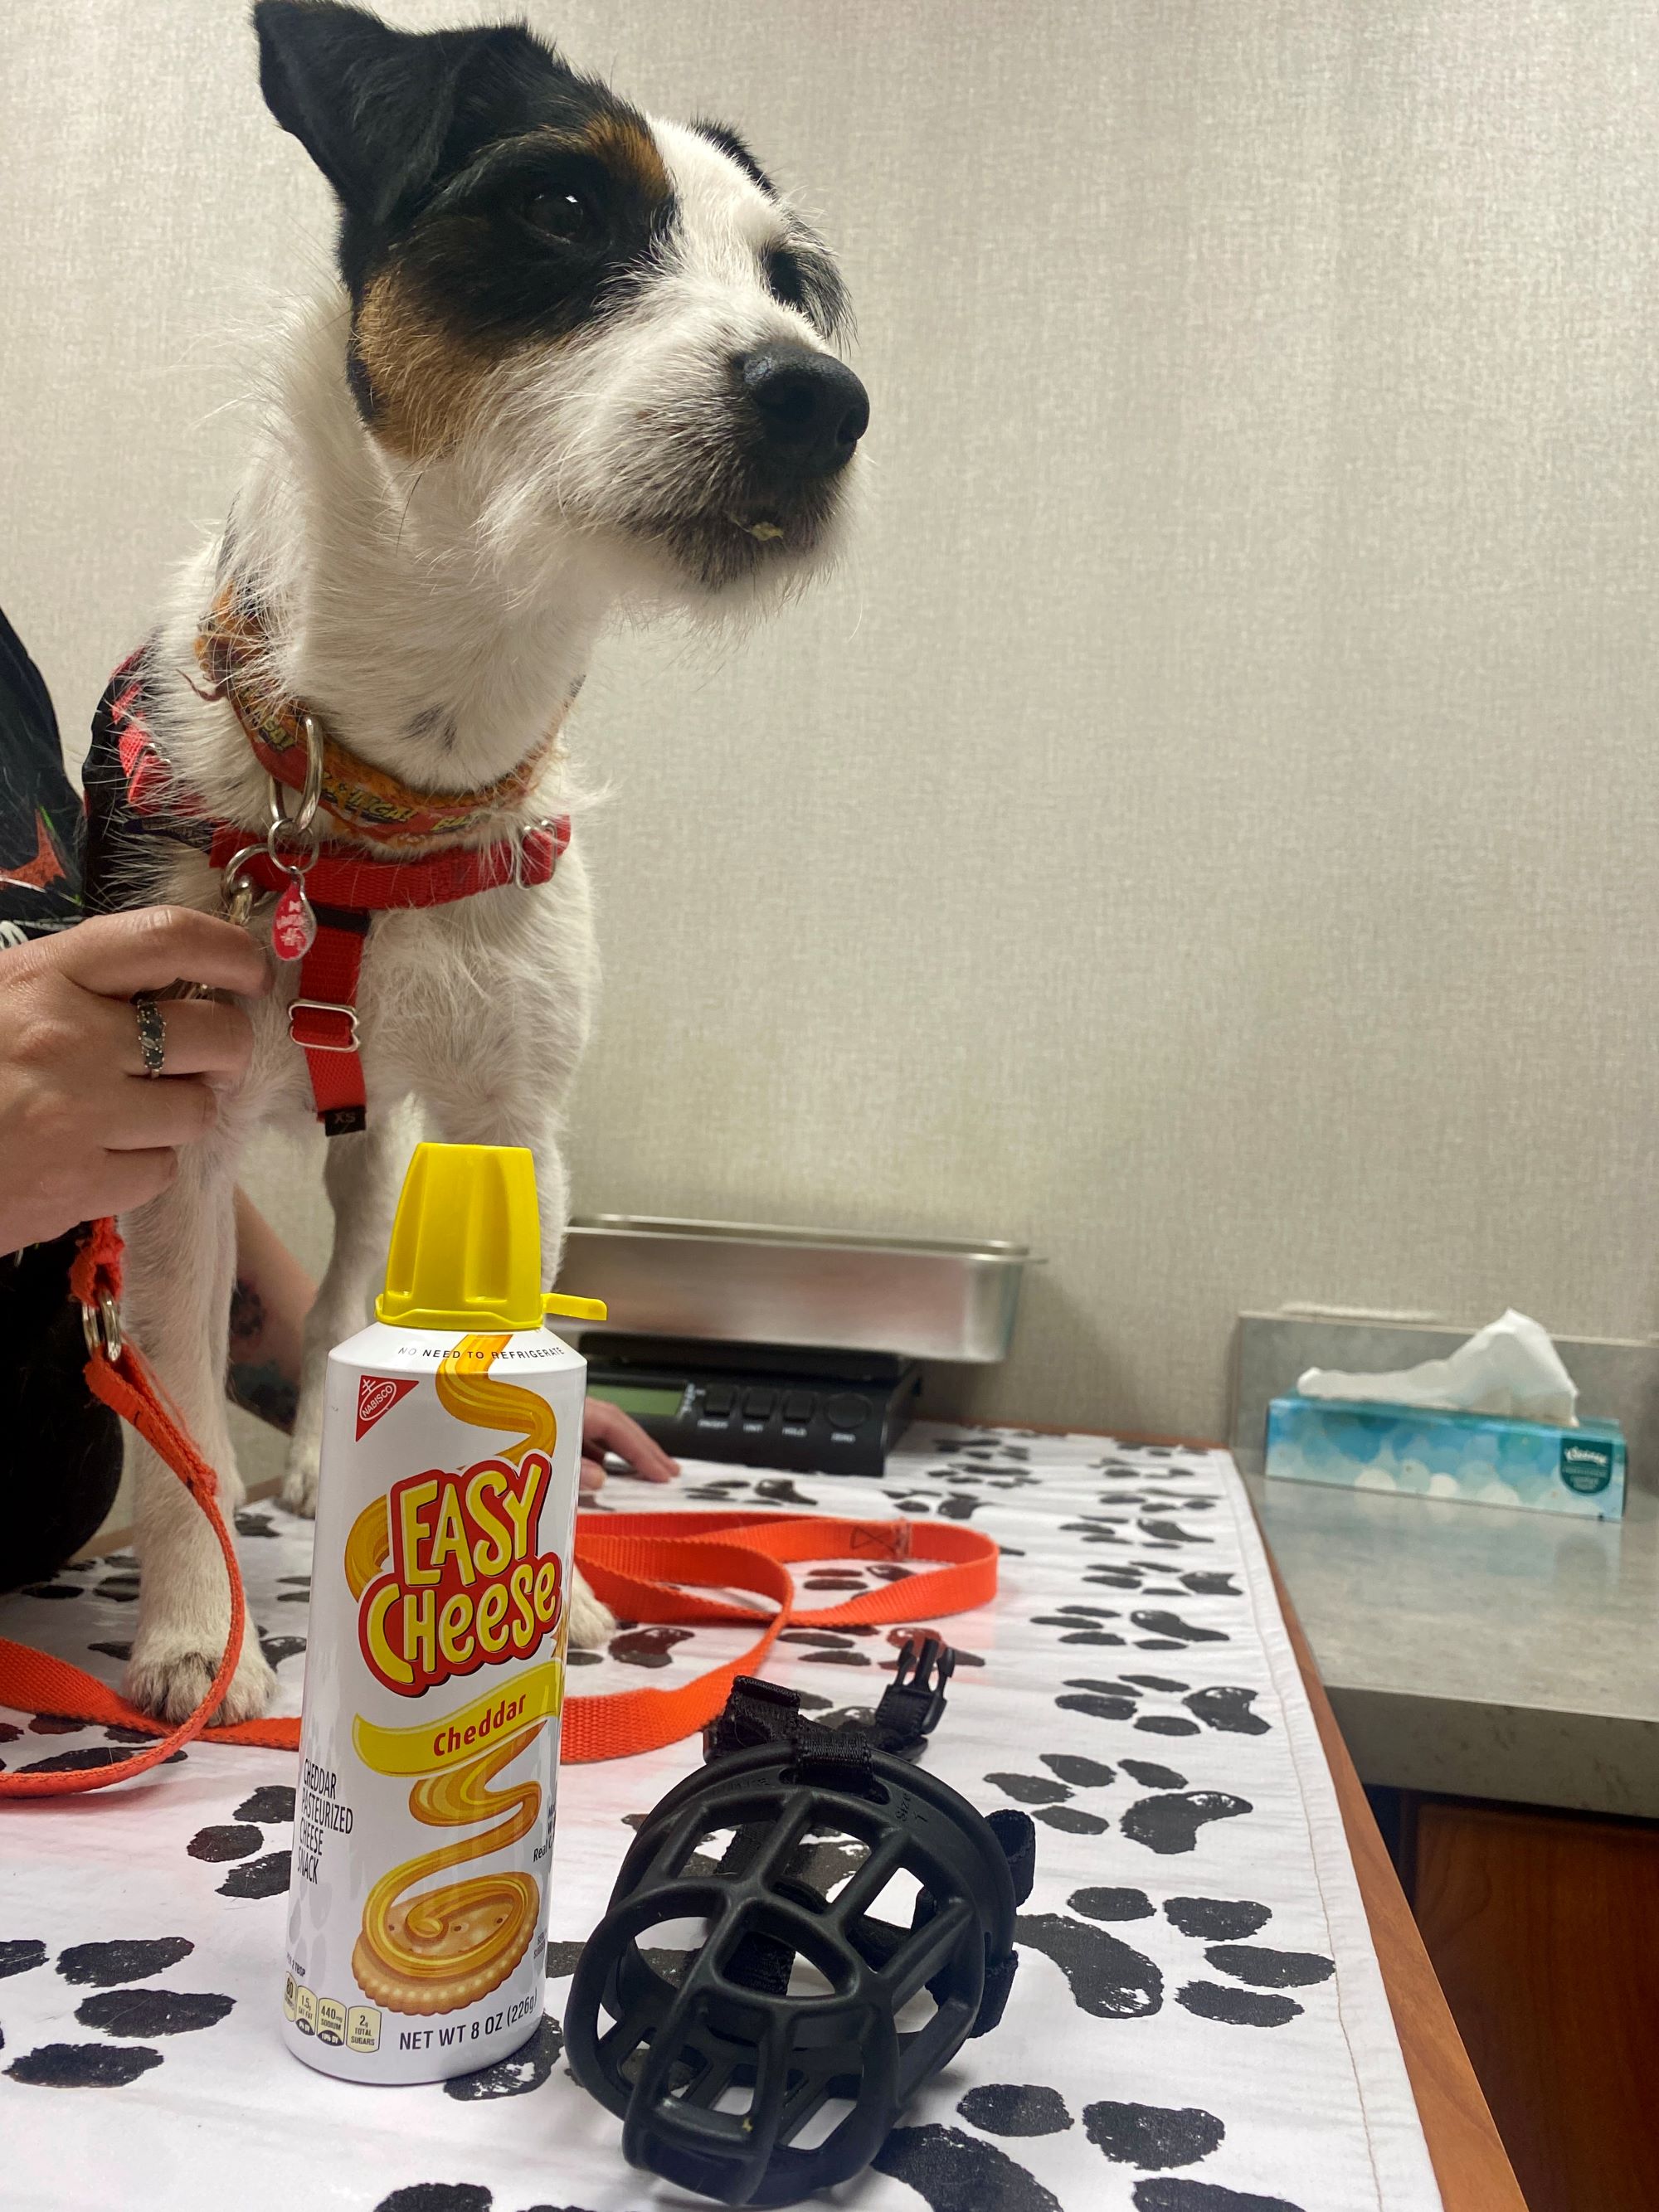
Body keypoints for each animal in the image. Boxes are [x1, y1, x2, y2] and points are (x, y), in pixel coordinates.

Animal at [90, 0, 871, 1716]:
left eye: (791, 280)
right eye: (563, 205)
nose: (825, 400)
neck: (392, 776)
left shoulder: (514, 1123)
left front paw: (552, 1591)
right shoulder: (171, 1133)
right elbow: (174, 1397)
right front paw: (194, 1630)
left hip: (386, 1139)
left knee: (345, 1275)